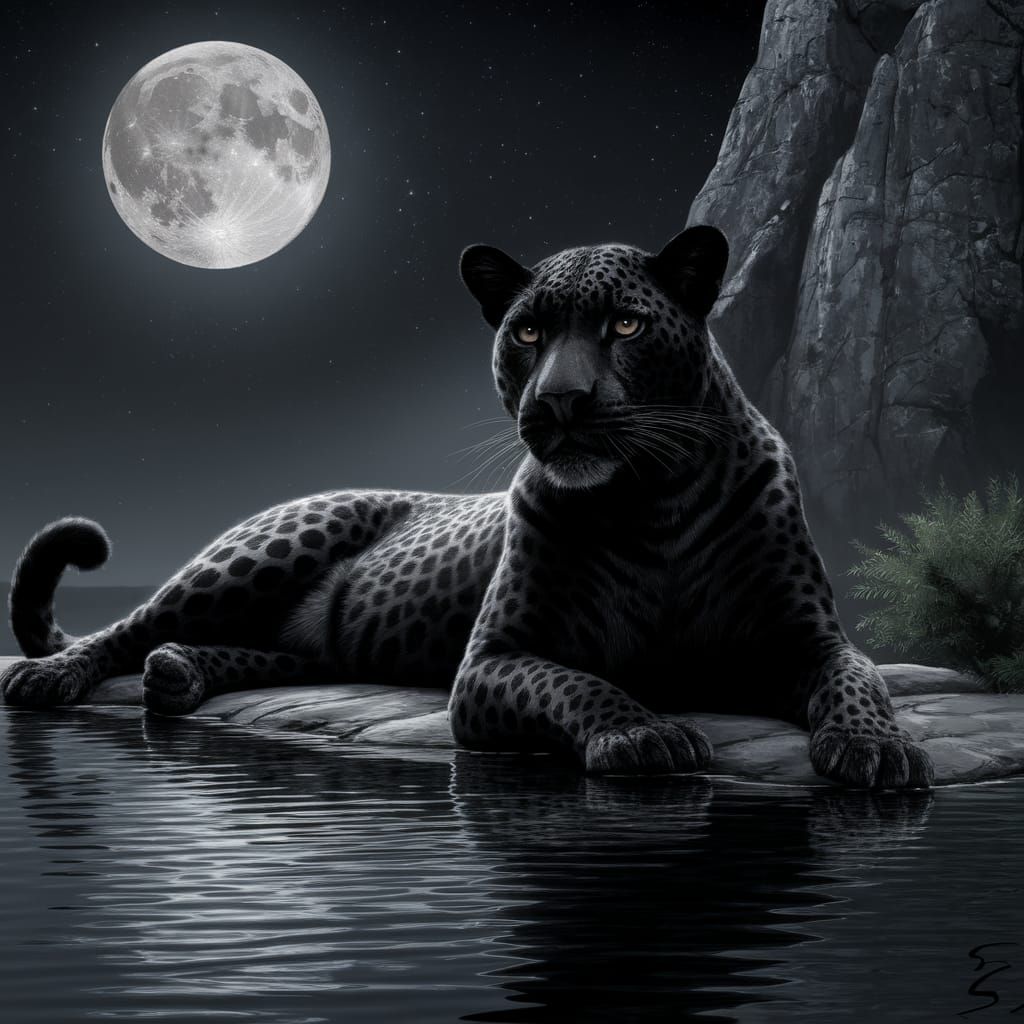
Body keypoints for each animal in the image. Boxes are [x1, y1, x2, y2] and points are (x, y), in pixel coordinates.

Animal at [1, 224, 934, 789]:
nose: (558, 402)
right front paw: (644, 736)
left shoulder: (807, 638)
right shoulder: (494, 659)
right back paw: (55, 677)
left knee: (272, 655)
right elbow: (580, 684)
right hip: (251, 560)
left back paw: (178, 676)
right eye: (527, 331)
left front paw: (878, 747)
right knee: (131, 625)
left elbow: (856, 682)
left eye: (626, 326)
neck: (652, 500)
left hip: (305, 639)